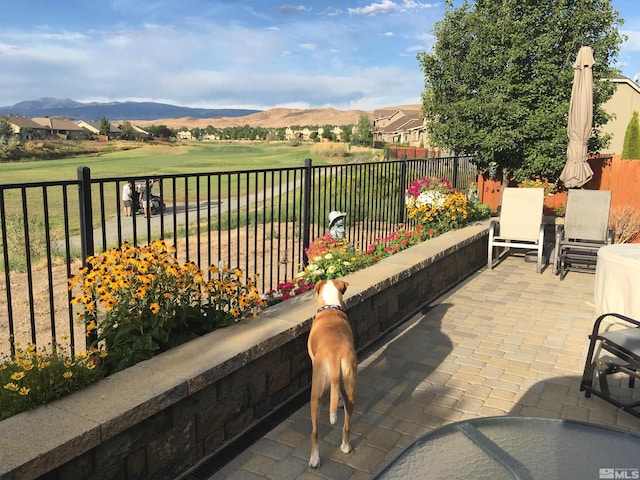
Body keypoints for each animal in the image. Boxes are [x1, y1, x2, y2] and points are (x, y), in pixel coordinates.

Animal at [304, 278, 356, 468]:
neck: (331, 307)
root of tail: (334, 355)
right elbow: (338, 393)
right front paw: (338, 401)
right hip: (350, 383)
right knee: (347, 423)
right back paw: (346, 447)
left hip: (315, 394)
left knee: (315, 432)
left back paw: (314, 460)